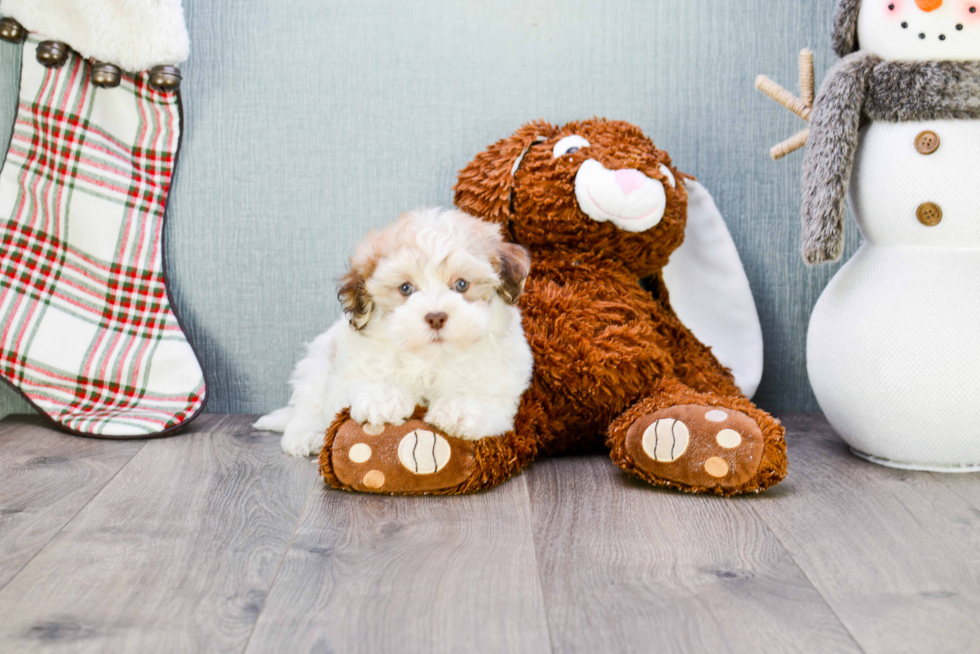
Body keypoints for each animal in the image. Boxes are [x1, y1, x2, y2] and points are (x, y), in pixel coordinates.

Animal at [251, 209, 528, 456]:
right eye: (405, 288)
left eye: (461, 284)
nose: (436, 317)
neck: (432, 358)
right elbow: (372, 372)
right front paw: (383, 400)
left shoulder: (500, 368)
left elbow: (483, 388)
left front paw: (460, 409)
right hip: (319, 362)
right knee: (309, 404)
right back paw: (306, 436)